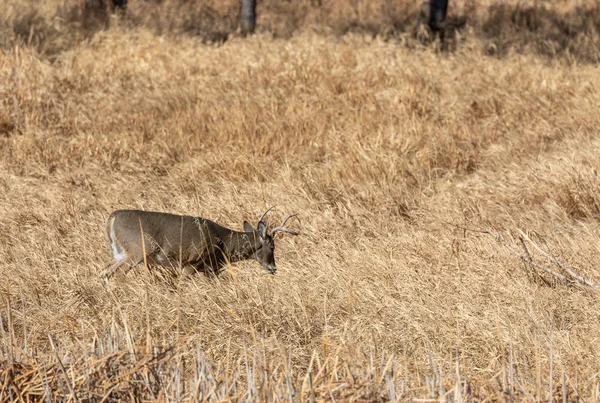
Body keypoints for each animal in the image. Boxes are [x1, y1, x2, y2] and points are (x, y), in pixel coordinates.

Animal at [103, 208, 300, 280]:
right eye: (272, 247)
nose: (273, 268)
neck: (224, 244)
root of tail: (111, 219)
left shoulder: (210, 270)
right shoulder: (192, 264)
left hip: (119, 253)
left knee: (105, 271)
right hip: (136, 252)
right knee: (116, 273)